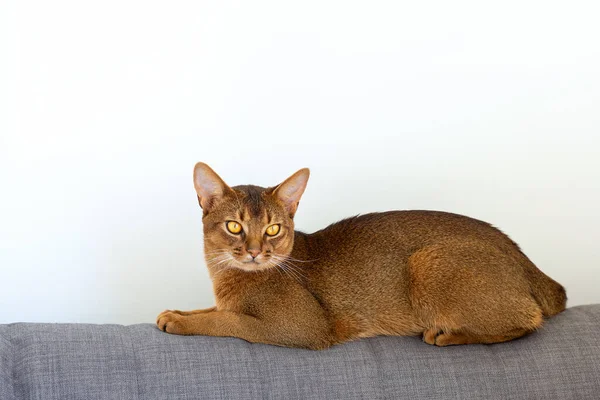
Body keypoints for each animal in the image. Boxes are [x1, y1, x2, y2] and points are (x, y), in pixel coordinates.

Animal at [156, 161, 568, 348]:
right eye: (234, 226)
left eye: (273, 229)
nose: (256, 253)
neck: (227, 276)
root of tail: (522, 257)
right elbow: (212, 309)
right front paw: (174, 312)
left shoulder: (303, 327)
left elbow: (230, 321)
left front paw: (180, 323)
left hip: (426, 261)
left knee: (529, 319)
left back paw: (447, 335)